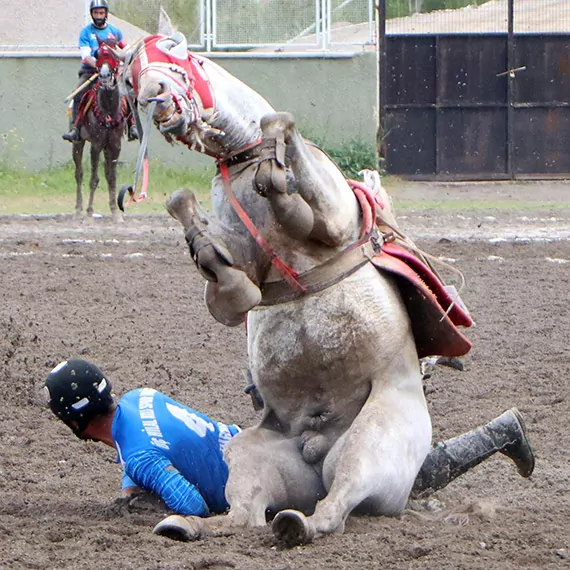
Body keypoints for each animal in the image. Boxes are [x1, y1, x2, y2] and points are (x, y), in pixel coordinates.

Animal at [70, 40, 131, 221]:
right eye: (97, 54)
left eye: (113, 55)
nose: (104, 76)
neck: (108, 109)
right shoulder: (96, 144)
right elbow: (93, 179)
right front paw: (89, 211)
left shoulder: (115, 145)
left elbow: (111, 177)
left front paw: (115, 212)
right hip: (78, 142)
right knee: (79, 174)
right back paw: (78, 209)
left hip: (106, 147)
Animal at [118, 32, 470, 544]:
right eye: (131, 74)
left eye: (175, 51)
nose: (154, 96)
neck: (244, 160)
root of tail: (316, 446)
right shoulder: (238, 255)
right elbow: (213, 254)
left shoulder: (336, 217)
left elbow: (288, 151)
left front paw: (280, 169)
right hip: (249, 455)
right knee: (245, 515)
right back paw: (188, 525)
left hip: (368, 446)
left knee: (334, 508)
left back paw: (295, 525)